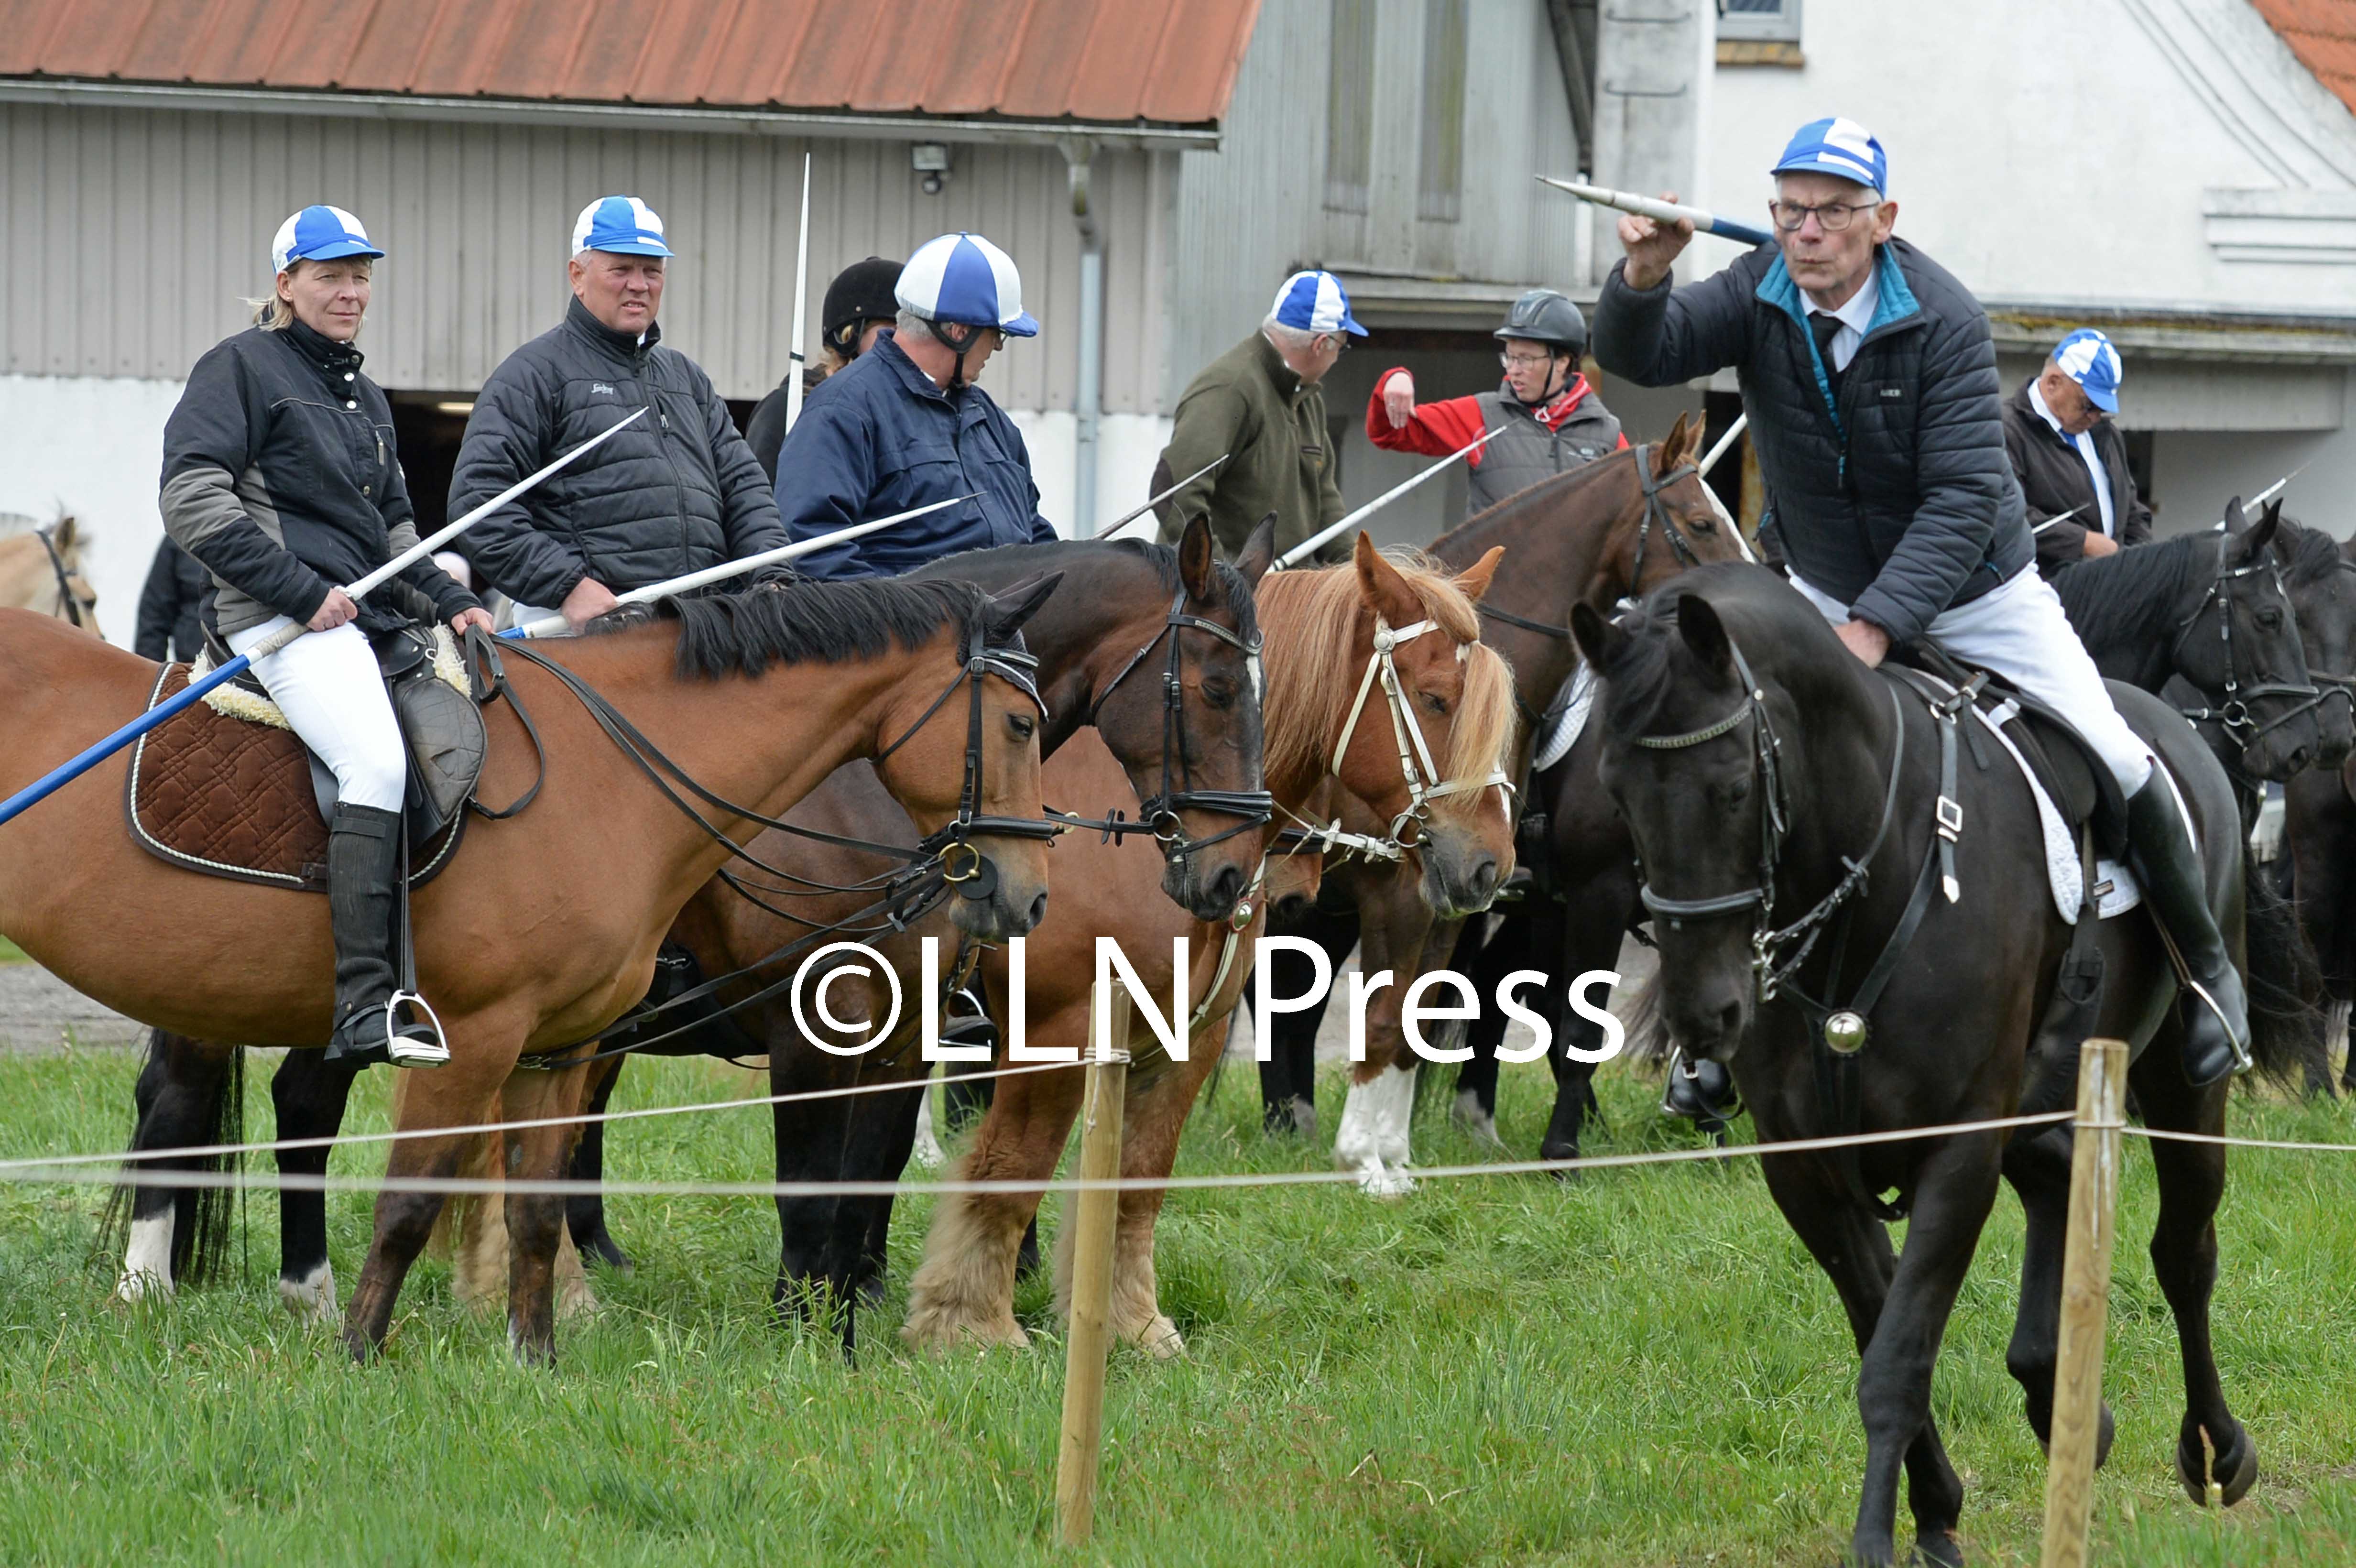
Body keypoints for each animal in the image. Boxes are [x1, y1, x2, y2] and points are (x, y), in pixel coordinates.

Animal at [0, 574, 1055, 1356]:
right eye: (1016, 725)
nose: (1029, 895)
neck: (610, 772)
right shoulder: (475, 1038)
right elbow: (411, 1200)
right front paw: (358, 1355)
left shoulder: (563, 1045)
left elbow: (540, 1209)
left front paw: (533, 1357)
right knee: (179, 1103)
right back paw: (154, 1291)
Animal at [890, 532, 1517, 1347]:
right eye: (1437, 698)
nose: (1491, 863)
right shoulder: (1054, 1030)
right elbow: (1009, 1170)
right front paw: (970, 1328)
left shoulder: (1190, 1036)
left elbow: (1136, 1186)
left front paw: (1130, 1325)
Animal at [1573, 565, 2309, 1563]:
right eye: (1616, 796)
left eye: (1730, 790)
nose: (1704, 1014)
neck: (1863, 888)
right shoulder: (1809, 1174)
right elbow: (1882, 1325)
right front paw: (1936, 1510)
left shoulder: (1956, 1152)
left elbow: (1896, 1356)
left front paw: (1882, 1536)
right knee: (2057, 1181)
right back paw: (2064, 1404)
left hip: (2174, 1079)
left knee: (2181, 1251)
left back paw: (2212, 1448)